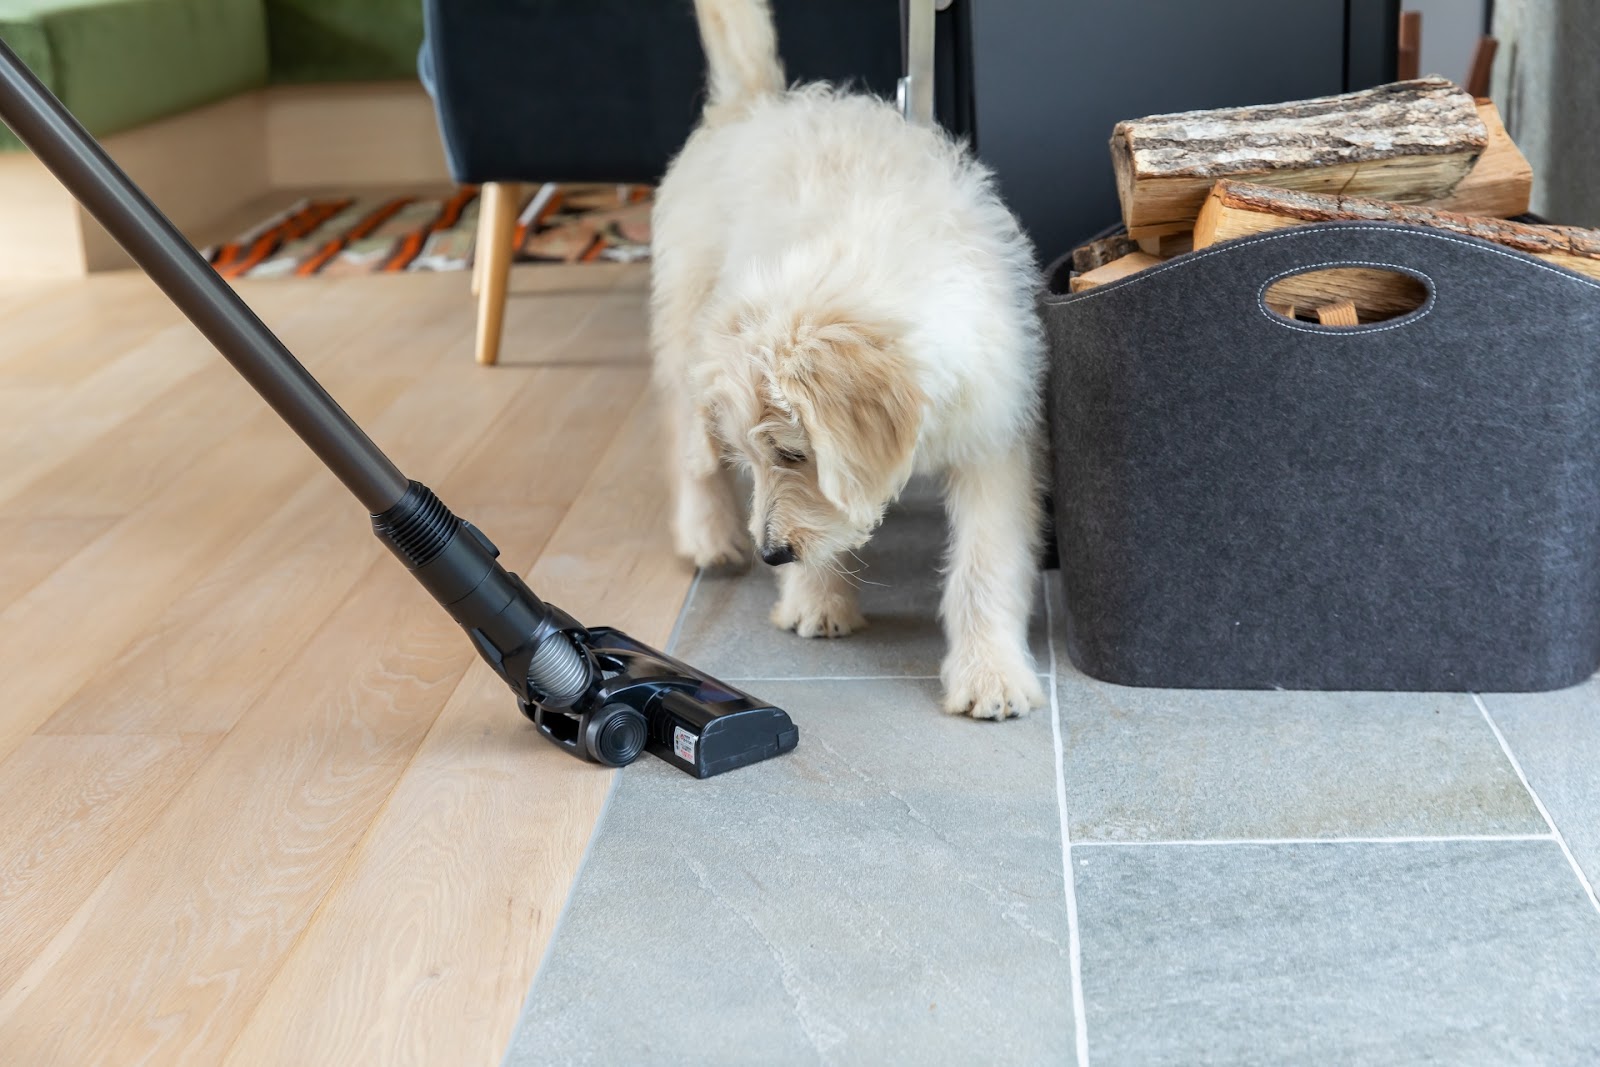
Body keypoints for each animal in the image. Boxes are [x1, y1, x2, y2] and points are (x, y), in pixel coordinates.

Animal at [649, 0, 1049, 723]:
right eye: (762, 458)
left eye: (792, 453)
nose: (772, 553)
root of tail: (754, 103)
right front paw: (814, 597)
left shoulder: (995, 434)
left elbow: (986, 559)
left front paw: (991, 673)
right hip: (683, 326)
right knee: (685, 443)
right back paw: (709, 534)